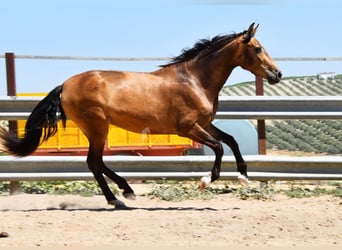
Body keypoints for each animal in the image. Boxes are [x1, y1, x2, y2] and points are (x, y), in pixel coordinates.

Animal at [0, 23, 280, 208]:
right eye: (257, 48)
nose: (277, 74)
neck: (194, 80)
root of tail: (65, 85)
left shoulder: (204, 124)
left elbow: (231, 140)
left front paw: (243, 177)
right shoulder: (188, 127)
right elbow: (220, 147)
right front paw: (205, 181)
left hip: (96, 129)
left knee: (96, 162)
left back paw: (122, 194)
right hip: (97, 127)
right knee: (94, 162)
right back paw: (121, 196)